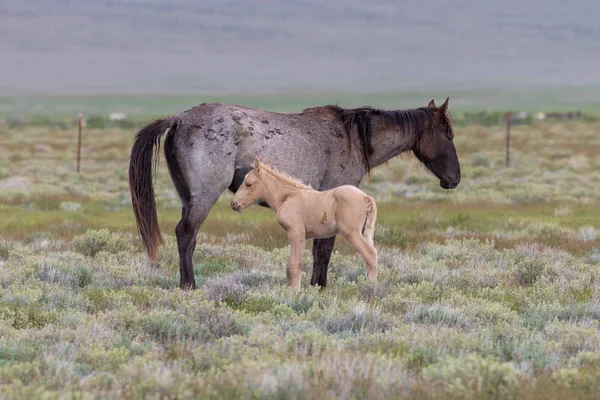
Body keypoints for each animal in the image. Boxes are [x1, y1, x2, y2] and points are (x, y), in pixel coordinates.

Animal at [232, 157, 378, 290]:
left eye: (248, 184)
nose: (234, 204)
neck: (287, 197)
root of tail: (365, 197)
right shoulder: (303, 236)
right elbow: (292, 264)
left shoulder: (295, 233)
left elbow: (293, 265)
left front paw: (295, 292)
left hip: (351, 233)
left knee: (370, 254)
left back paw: (370, 289)